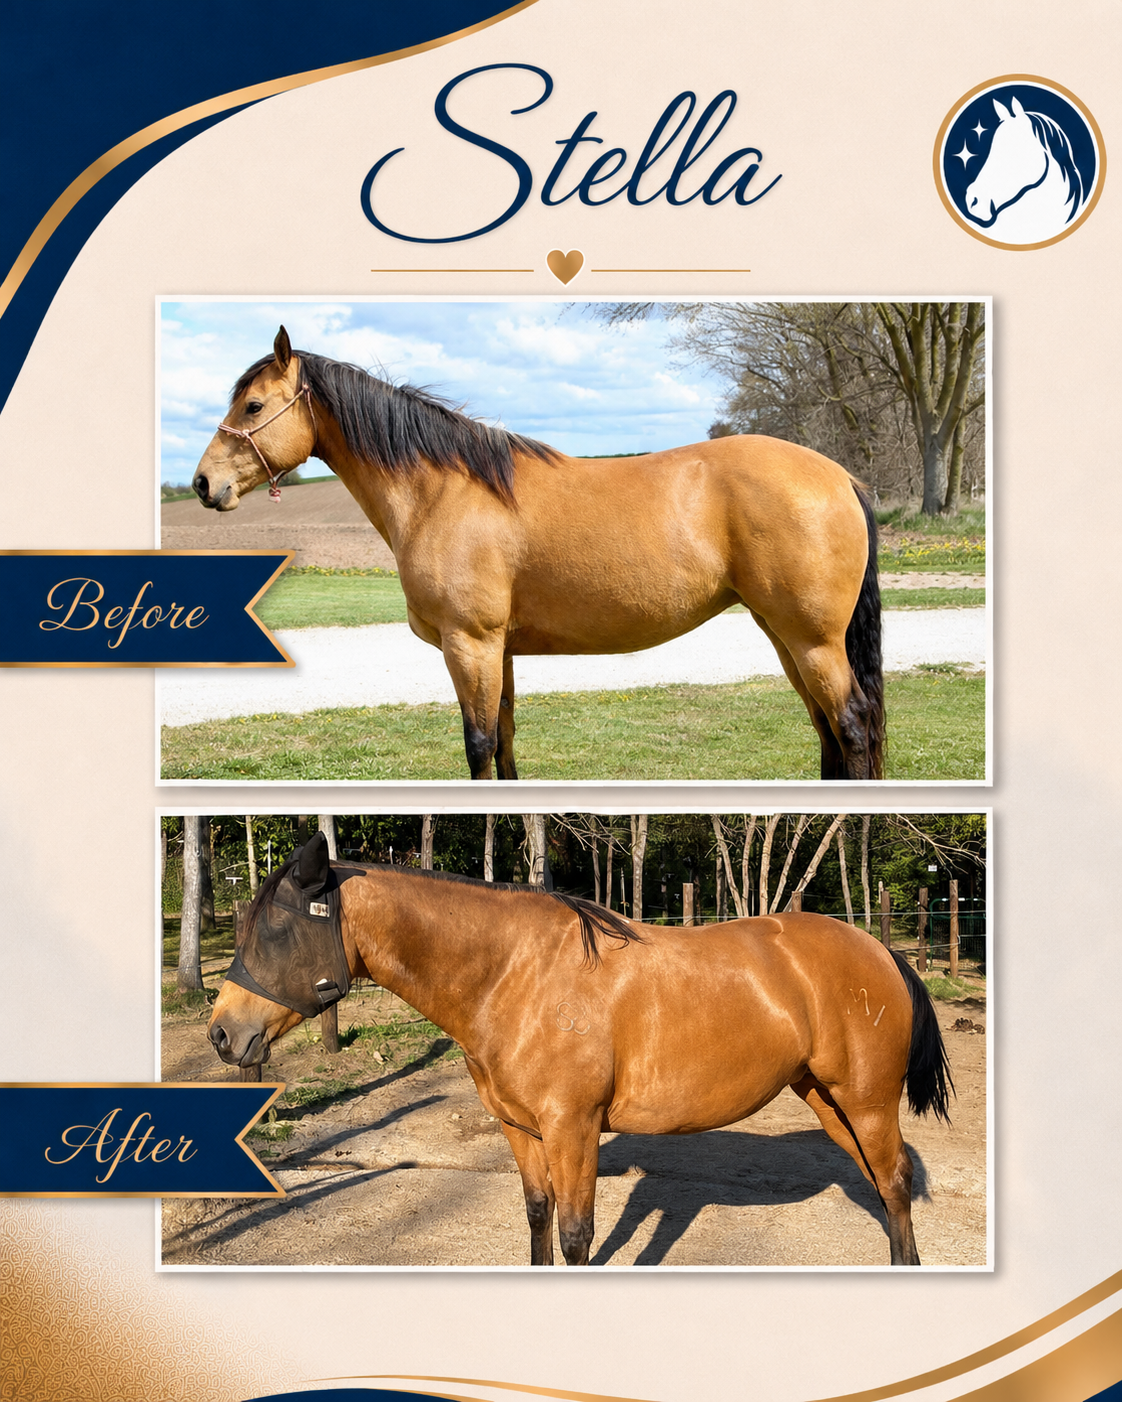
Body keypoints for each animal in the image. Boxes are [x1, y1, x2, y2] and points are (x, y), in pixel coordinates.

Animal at [191, 328, 884, 781]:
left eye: (253, 405)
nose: (203, 484)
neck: (441, 491)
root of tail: (838, 475)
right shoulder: (497, 650)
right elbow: (504, 743)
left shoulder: (469, 643)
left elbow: (477, 745)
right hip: (783, 633)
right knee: (826, 730)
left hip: (812, 638)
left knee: (850, 725)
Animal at [208, 832, 953, 1266]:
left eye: (275, 929)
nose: (221, 1033)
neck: (514, 974)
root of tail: (878, 949)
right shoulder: (522, 1129)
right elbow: (539, 1221)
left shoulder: (575, 1128)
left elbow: (575, 1235)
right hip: (827, 1099)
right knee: (882, 1189)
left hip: (867, 1102)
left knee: (893, 1184)